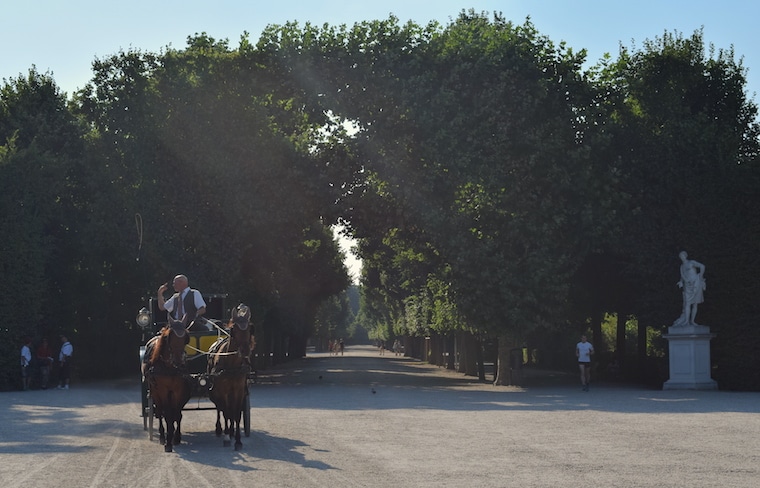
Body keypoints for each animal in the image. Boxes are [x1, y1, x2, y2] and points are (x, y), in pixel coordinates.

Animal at [142, 314, 191, 452]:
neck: (169, 367)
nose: (179, 362)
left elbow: (177, 413)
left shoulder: (179, 390)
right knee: (160, 412)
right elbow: (168, 414)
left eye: (185, 338)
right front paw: (168, 442)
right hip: (155, 392)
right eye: (169, 337)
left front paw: (176, 437)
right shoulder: (163, 391)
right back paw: (162, 436)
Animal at [206, 304, 254, 450]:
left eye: (250, 328)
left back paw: (232, 432)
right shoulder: (223, 391)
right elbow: (226, 411)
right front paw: (227, 436)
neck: (232, 364)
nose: (245, 350)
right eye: (234, 329)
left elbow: (236, 414)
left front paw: (238, 440)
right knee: (220, 408)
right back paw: (221, 429)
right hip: (215, 391)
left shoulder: (239, 390)